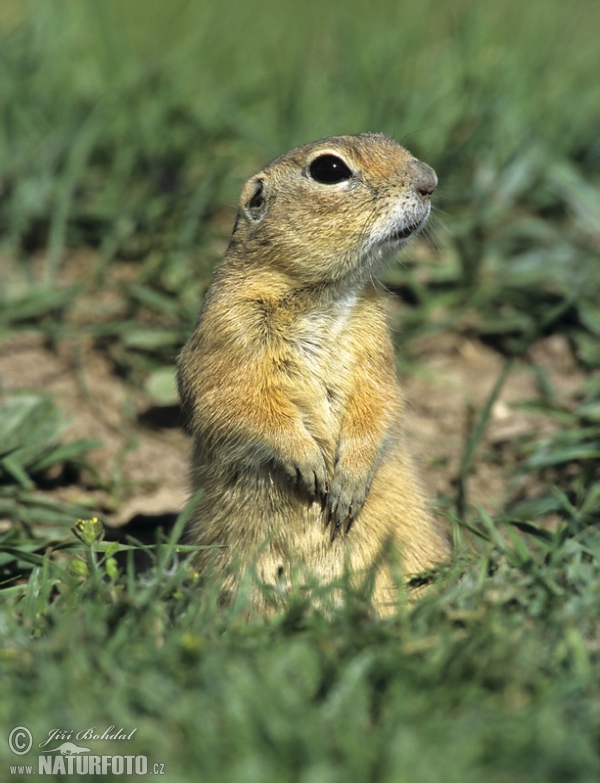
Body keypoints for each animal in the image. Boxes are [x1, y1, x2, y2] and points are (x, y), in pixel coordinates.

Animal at [178, 133, 450, 612]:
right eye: (329, 170)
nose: (429, 180)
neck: (322, 296)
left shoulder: (374, 346)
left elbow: (379, 402)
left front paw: (345, 486)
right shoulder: (228, 331)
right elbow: (235, 402)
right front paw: (309, 464)